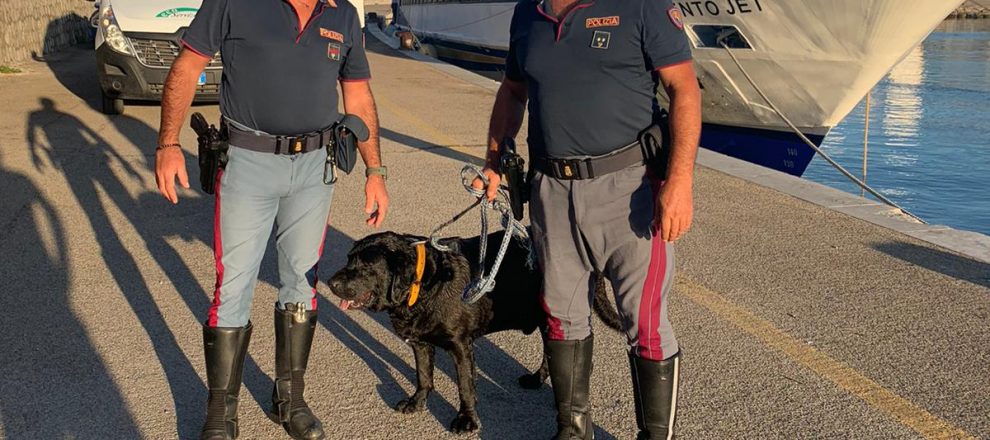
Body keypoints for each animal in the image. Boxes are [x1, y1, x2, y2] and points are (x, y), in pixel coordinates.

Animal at [327, 231, 621, 434]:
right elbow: (423, 376)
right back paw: (536, 379)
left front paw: (466, 420)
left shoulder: (461, 346)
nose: (330, 282)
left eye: (366, 266)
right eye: (349, 259)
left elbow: (466, 386)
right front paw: (417, 401)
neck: (425, 283)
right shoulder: (420, 343)